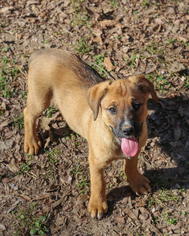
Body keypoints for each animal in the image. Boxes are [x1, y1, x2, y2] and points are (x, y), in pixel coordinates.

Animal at [24, 48, 159, 219]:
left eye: (136, 105)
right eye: (112, 109)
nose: (128, 130)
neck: (114, 139)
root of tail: (42, 51)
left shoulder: (135, 149)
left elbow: (131, 166)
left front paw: (136, 182)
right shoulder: (95, 162)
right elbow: (98, 183)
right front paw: (97, 204)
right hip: (40, 98)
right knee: (28, 113)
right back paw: (31, 142)